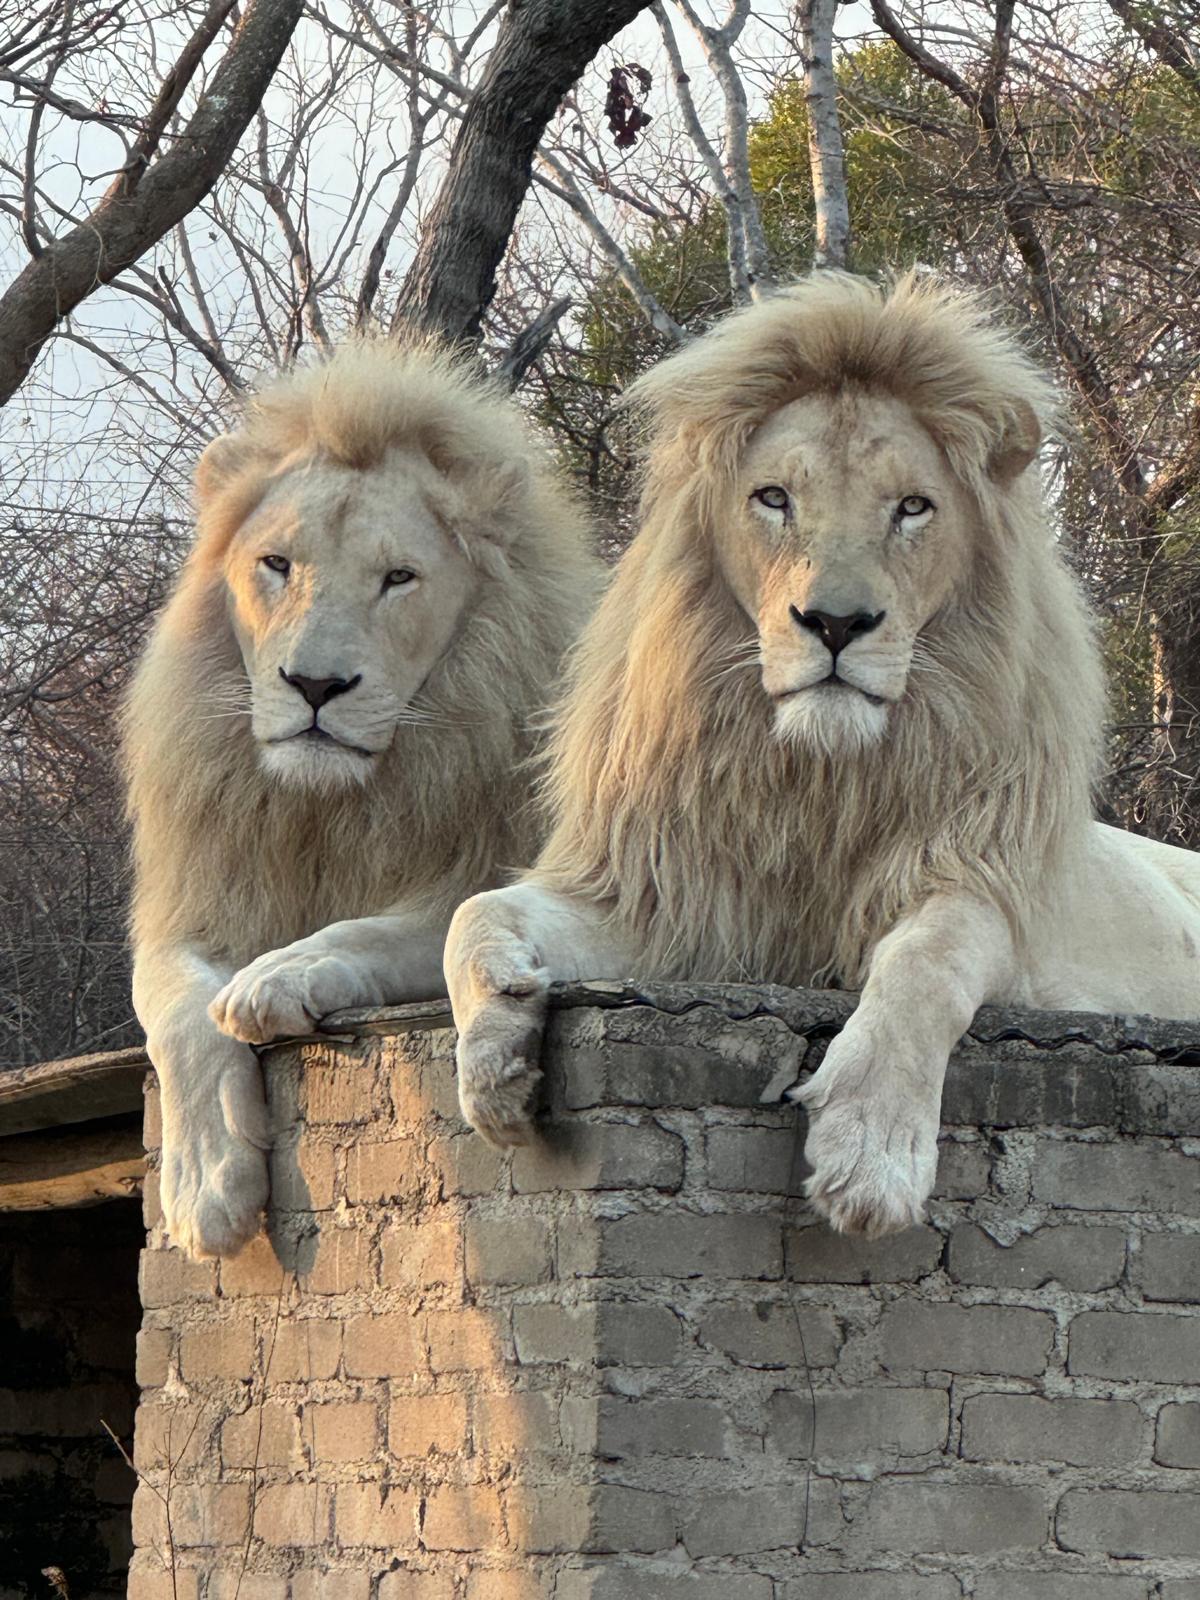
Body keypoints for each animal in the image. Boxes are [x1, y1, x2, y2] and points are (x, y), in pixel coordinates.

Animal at [124, 338, 600, 1259]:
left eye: (398, 578)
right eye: (277, 564)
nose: (314, 684)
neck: (331, 808)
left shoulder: (481, 869)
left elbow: (383, 929)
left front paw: (278, 976)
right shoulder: (199, 903)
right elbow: (175, 1009)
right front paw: (206, 1186)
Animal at [444, 272, 1200, 1238]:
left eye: (912, 507)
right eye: (774, 498)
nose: (836, 623)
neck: (816, 781)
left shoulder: (987, 887)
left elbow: (927, 962)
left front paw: (871, 1151)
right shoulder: (668, 900)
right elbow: (474, 911)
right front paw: (495, 1052)